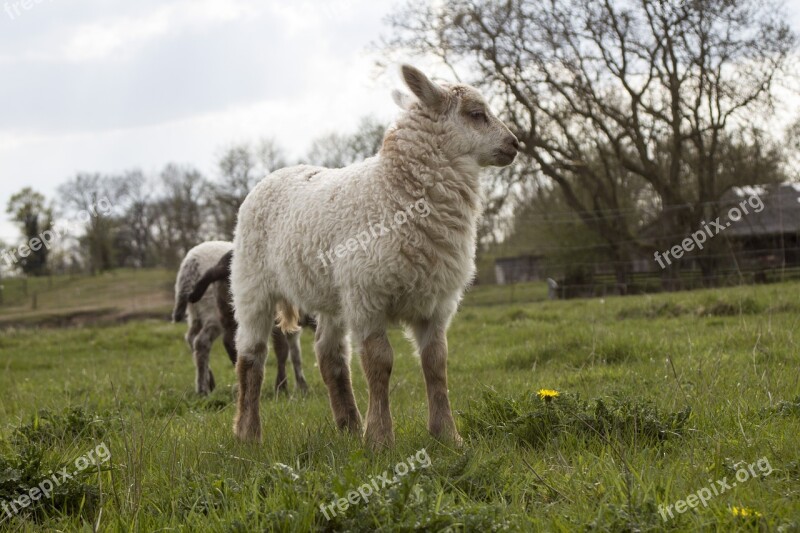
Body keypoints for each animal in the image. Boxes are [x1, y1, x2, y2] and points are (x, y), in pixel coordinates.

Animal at [231, 63, 520, 444]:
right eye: (476, 114)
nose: (515, 144)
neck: (392, 192)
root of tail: (275, 174)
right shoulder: (367, 296)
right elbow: (379, 363)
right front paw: (381, 438)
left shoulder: (436, 302)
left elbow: (436, 363)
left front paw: (447, 435)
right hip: (252, 284)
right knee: (251, 356)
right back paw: (248, 433)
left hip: (333, 293)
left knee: (329, 355)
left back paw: (348, 425)